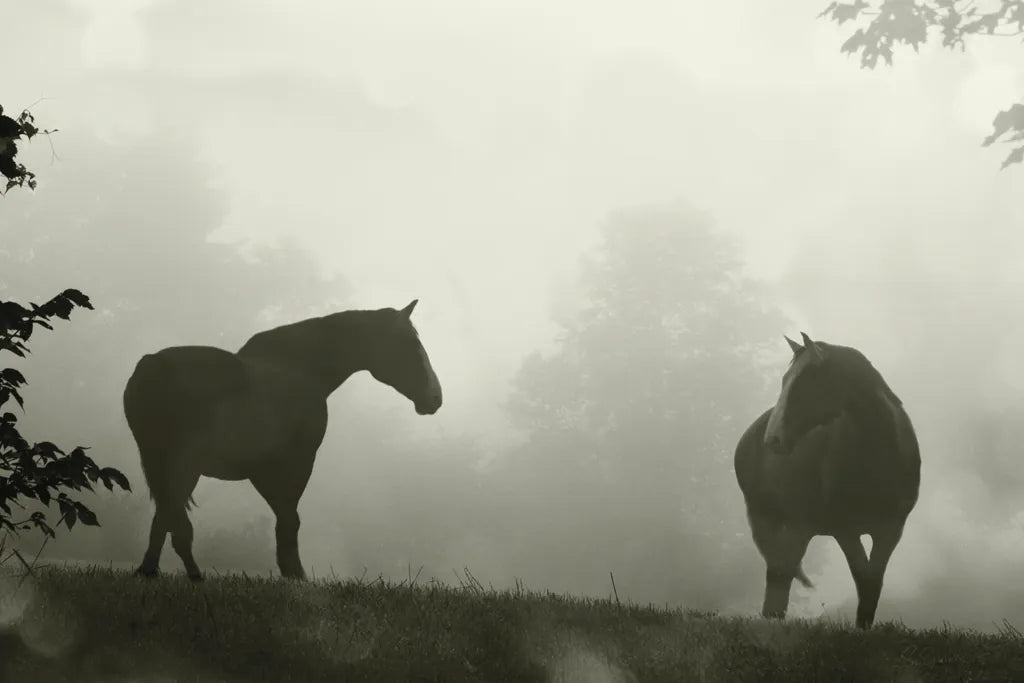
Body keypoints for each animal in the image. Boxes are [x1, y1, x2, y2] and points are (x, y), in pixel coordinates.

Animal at [122, 300, 442, 581]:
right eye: (411, 344)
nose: (435, 397)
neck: (301, 371)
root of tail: (152, 364)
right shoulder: (293, 463)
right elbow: (289, 518)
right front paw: (294, 574)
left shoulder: (264, 470)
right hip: (183, 464)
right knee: (172, 516)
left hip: (166, 463)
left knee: (166, 515)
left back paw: (155, 571)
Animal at [734, 332, 920, 629]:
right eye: (785, 380)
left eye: (806, 380)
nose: (772, 439)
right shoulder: (845, 530)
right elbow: (862, 577)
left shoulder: (891, 529)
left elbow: (873, 582)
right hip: (771, 518)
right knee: (778, 572)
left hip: (799, 526)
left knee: (783, 570)